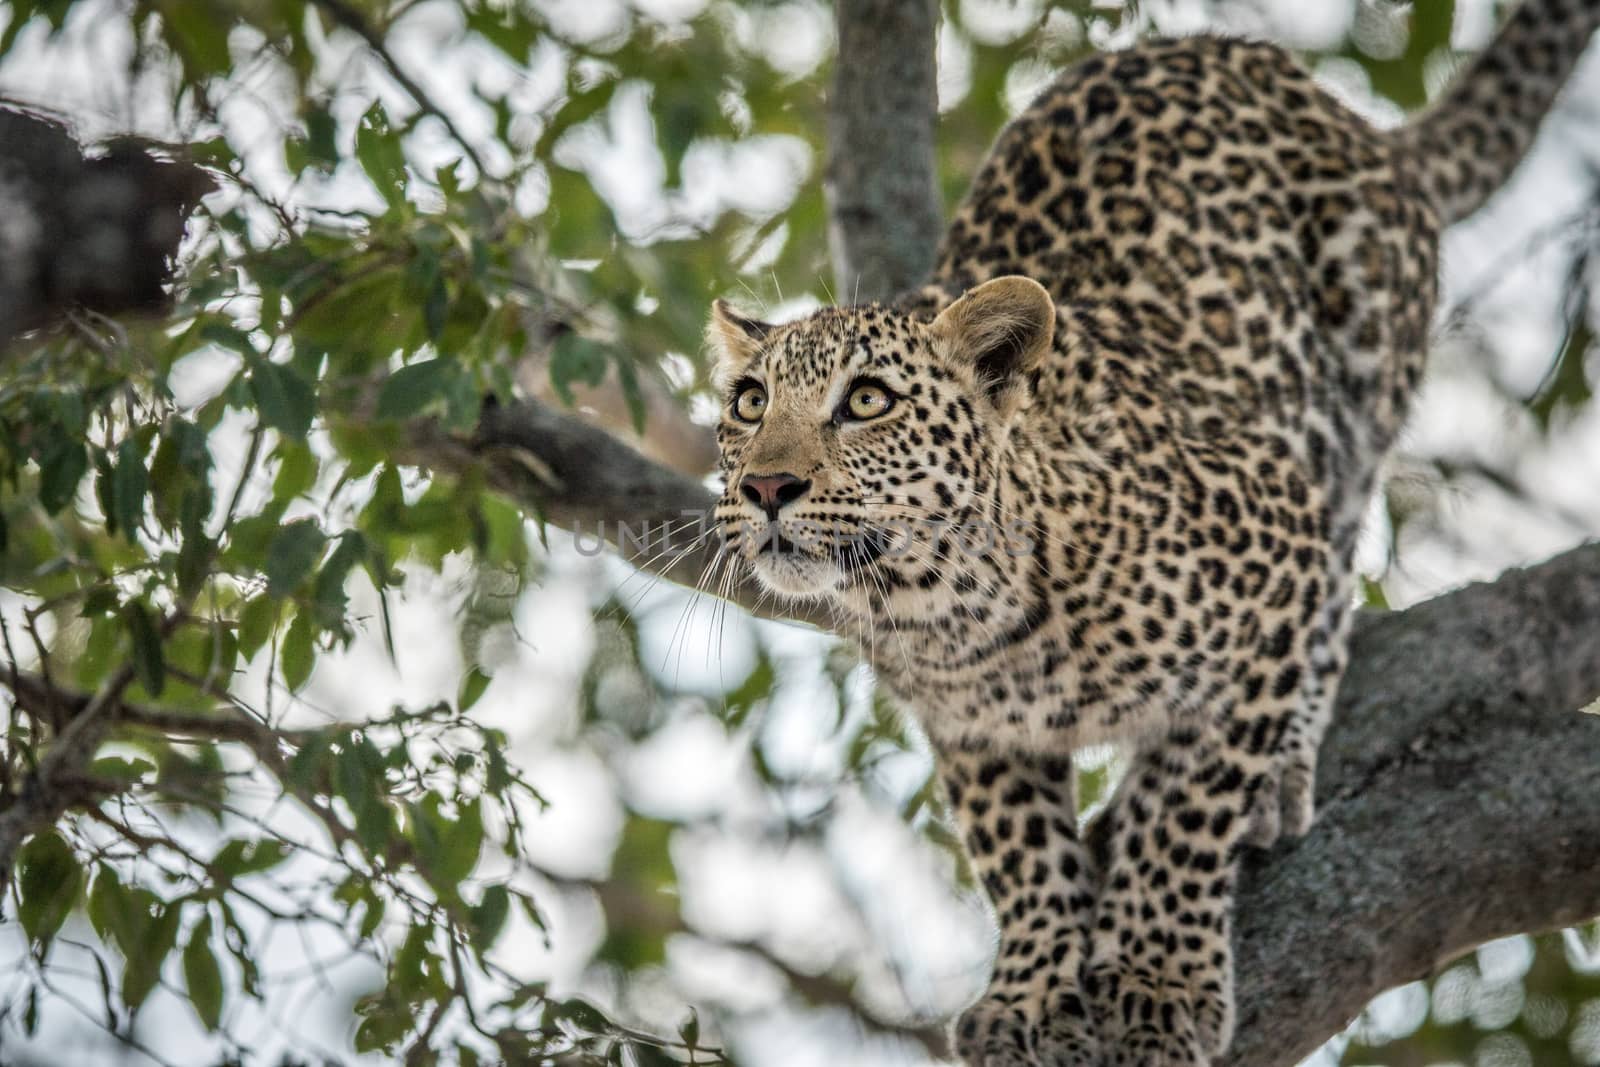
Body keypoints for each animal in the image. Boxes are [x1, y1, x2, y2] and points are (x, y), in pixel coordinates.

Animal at [710, 4, 1600, 1062]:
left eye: (868, 401)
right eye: (749, 402)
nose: (767, 484)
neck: (954, 604)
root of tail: (1346, 117)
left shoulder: (1275, 524)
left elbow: (1192, 807)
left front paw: (1158, 977)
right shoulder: (969, 724)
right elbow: (1017, 848)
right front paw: (1033, 990)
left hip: (1353, 395)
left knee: (1338, 591)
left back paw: (1278, 770)